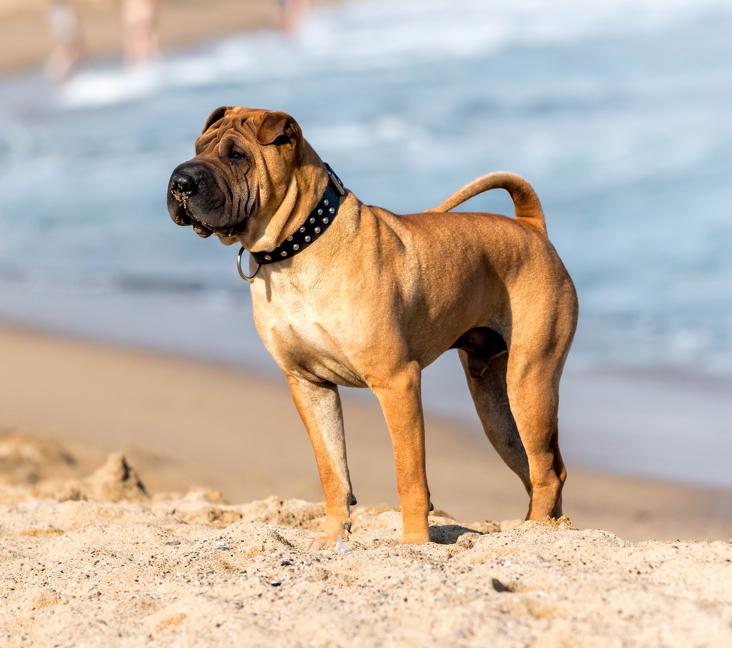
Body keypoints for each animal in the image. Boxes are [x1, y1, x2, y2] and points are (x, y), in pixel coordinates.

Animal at [166, 107, 576, 548]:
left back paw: (537, 533)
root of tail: (532, 228)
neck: (296, 249)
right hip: (495, 406)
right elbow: (331, 469)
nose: (180, 182)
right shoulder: (309, 385)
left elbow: (409, 474)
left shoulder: (397, 381)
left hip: (529, 381)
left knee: (547, 471)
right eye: (198, 147)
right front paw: (331, 537)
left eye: (237, 155)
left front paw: (414, 543)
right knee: (537, 468)